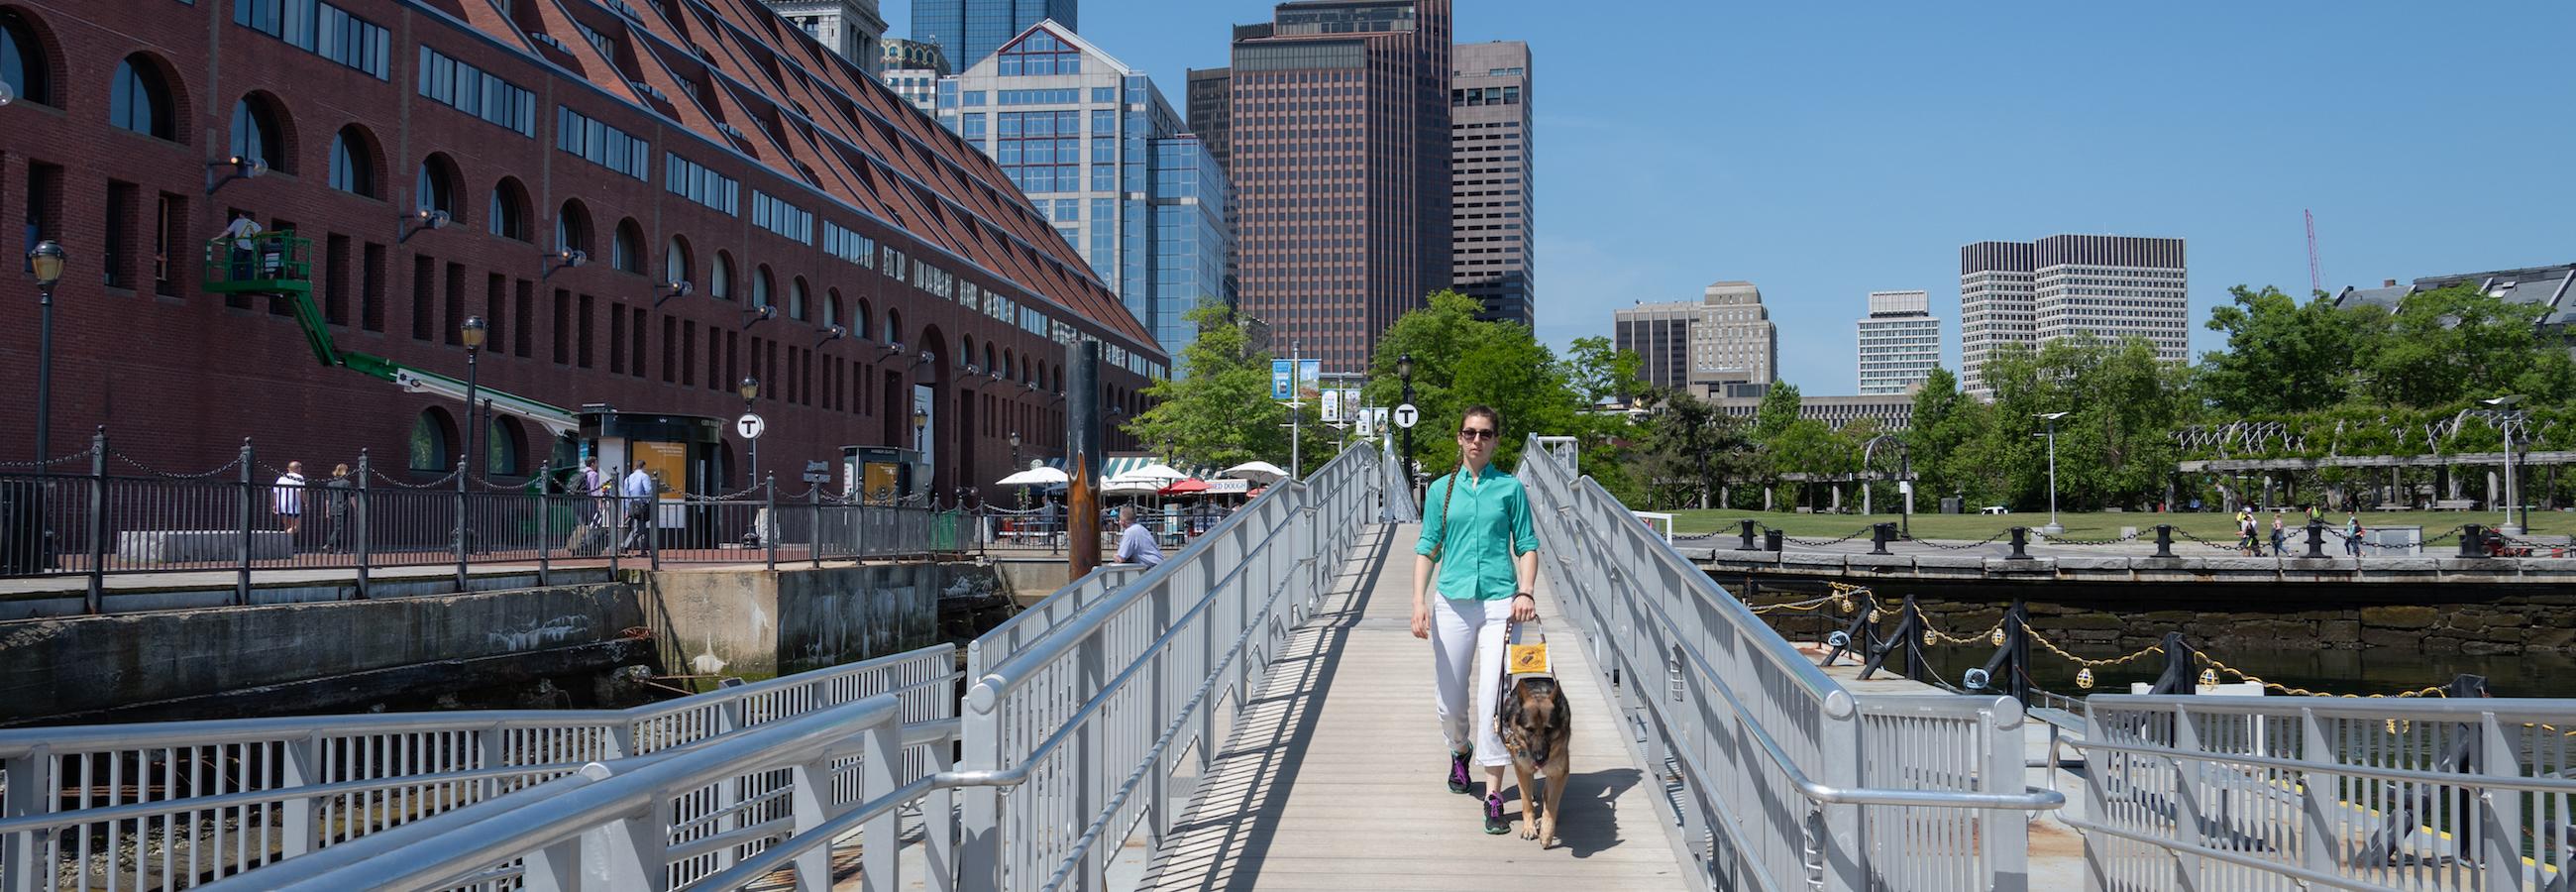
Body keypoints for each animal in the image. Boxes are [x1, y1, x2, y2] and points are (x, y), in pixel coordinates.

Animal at [1494, 680, 1565, 845]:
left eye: (1548, 730)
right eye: (1529, 730)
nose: (1539, 758)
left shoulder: (1559, 773)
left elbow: (1551, 805)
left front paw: (1546, 833)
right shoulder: (1522, 769)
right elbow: (1526, 803)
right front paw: (1529, 828)